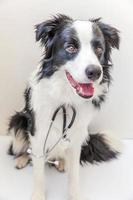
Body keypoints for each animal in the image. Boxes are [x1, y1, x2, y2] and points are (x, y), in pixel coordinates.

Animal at [8, 14, 120, 200]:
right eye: (71, 47)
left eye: (99, 49)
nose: (95, 72)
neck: (66, 97)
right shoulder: (38, 132)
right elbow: (38, 172)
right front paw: (38, 195)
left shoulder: (77, 133)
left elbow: (74, 173)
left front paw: (75, 195)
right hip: (19, 120)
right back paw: (22, 159)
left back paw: (62, 162)